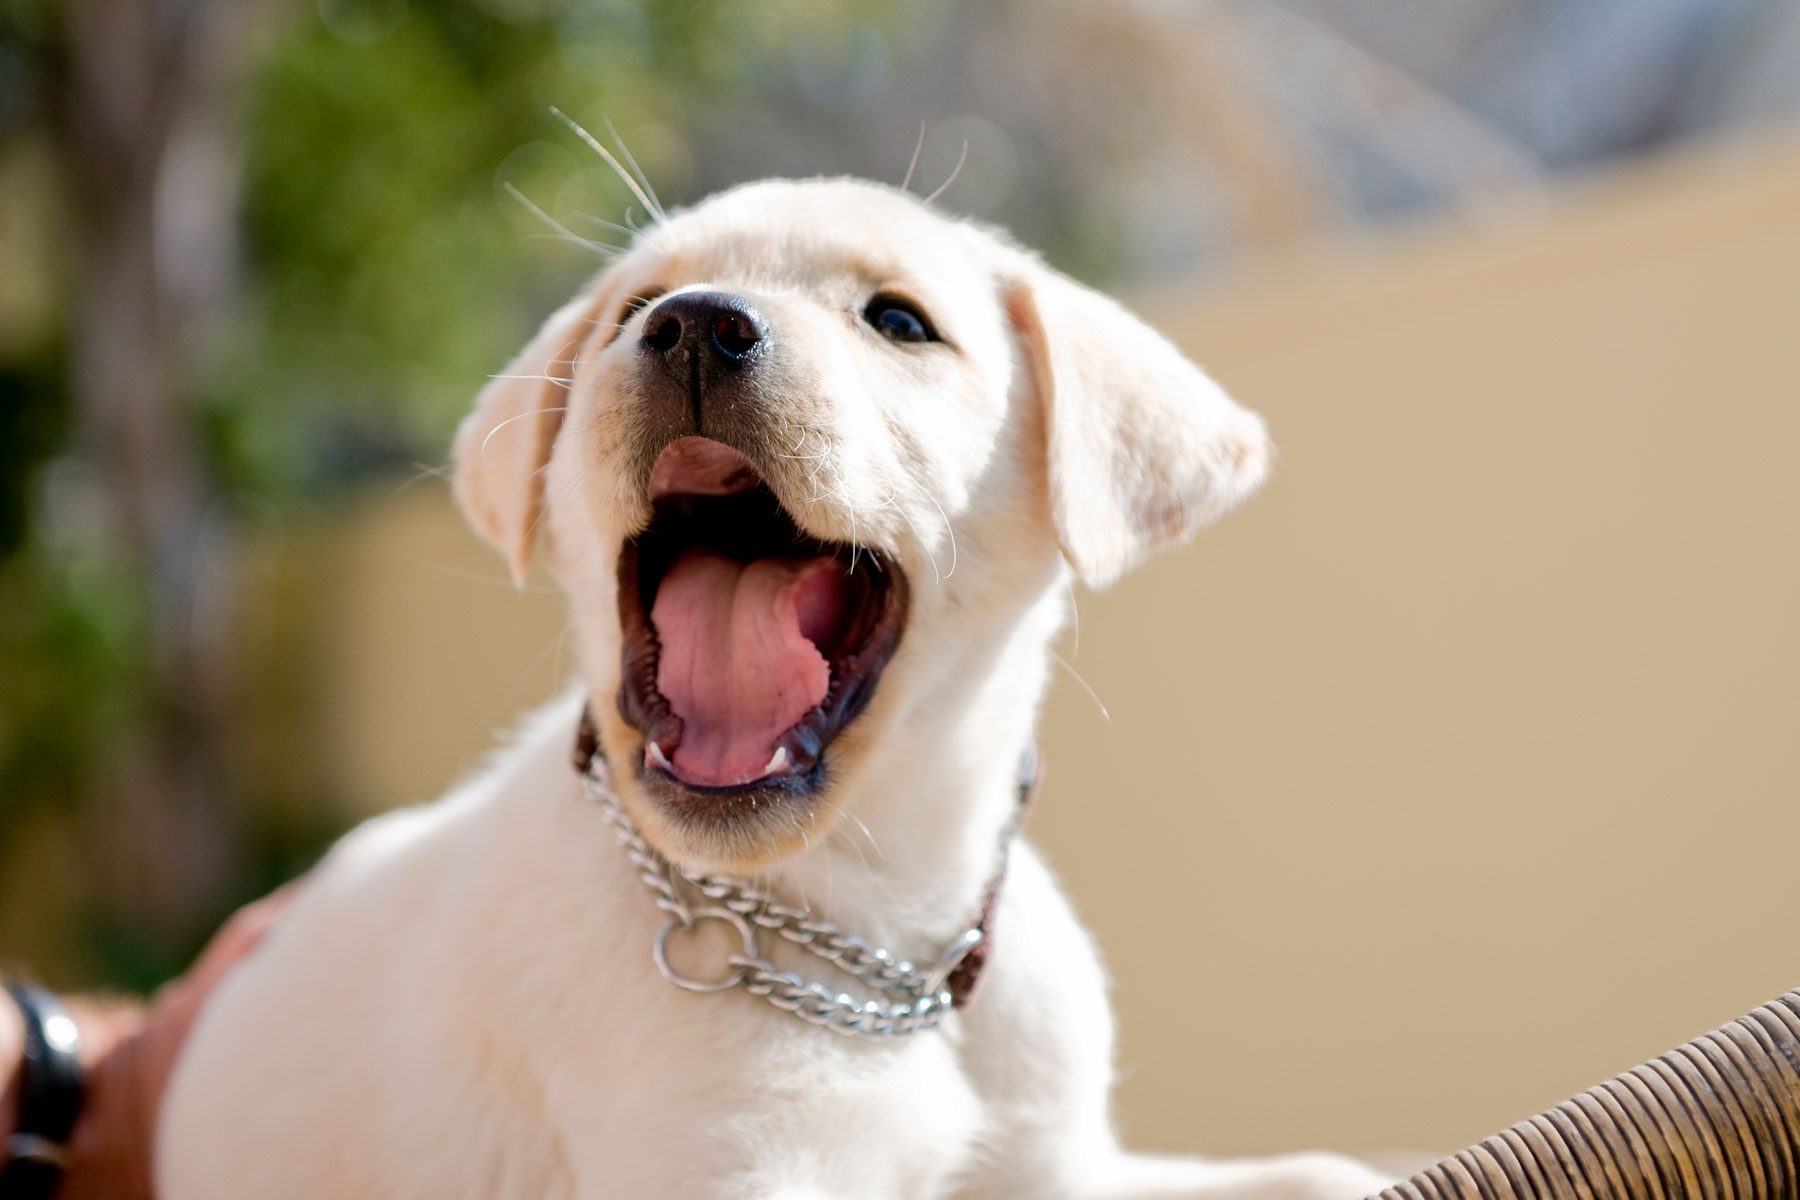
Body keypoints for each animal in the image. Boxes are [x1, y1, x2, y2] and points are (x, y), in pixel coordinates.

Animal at [158, 178, 1389, 1200]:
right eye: (634, 306)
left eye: (899, 323)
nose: (694, 322)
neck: (874, 936)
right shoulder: (733, 1170)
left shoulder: (1060, 1168)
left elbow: (1312, 1173)